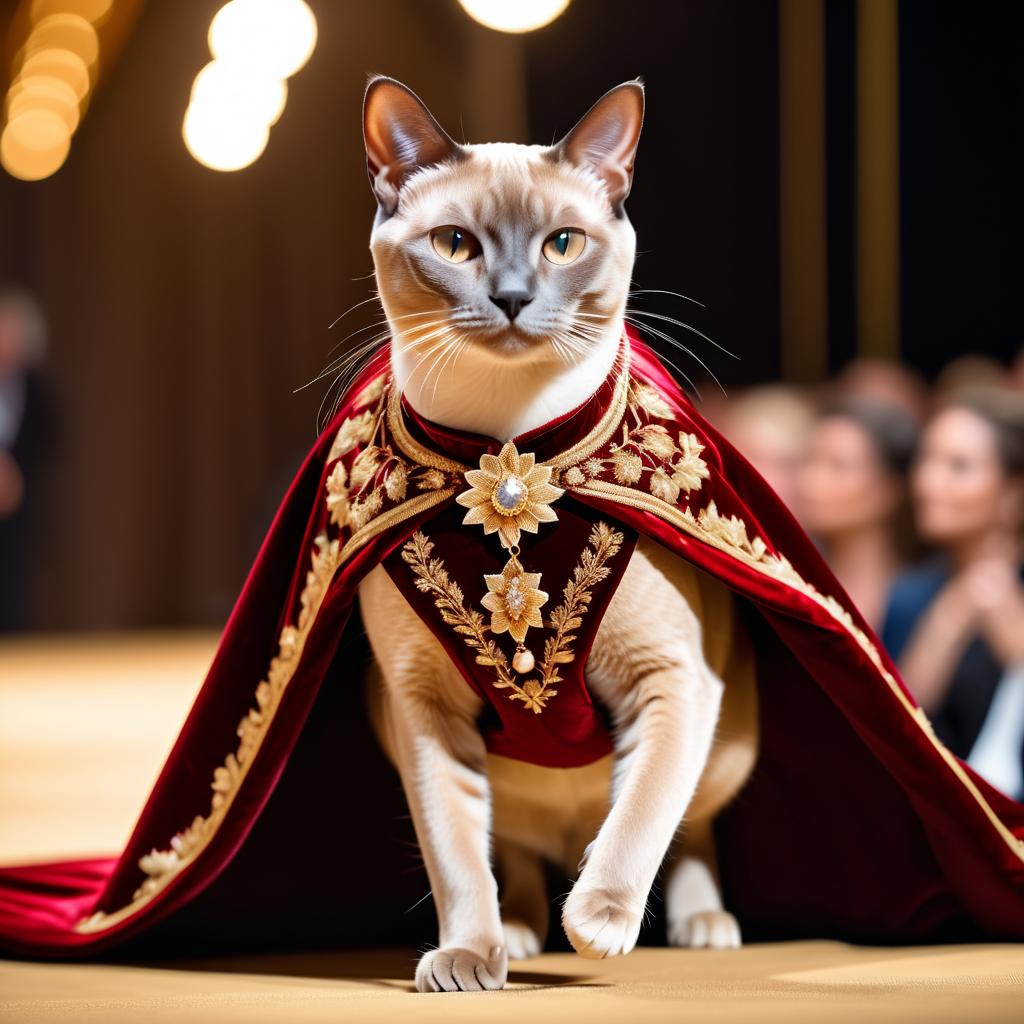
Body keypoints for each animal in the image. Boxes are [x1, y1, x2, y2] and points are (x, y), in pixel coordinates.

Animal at [356, 77, 757, 991]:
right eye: (456, 245)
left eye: (563, 244)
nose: (510, 297)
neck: (509, 457)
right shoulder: (423, 710)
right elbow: (456, 855)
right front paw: (471, 959)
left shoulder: (671, 681)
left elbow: (642, 815)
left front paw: (600, 924)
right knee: (519, 853)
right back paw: (520, 934)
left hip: (727, 738)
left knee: (687, 829)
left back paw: (699, 924)